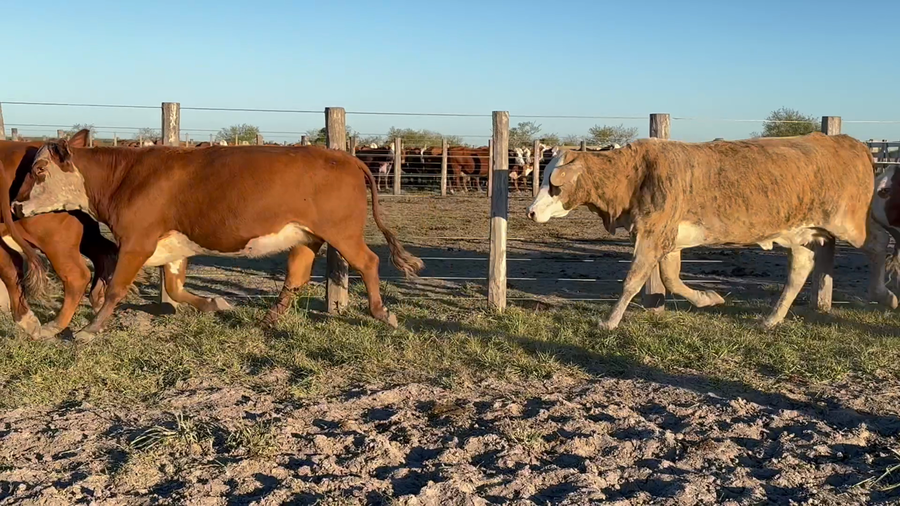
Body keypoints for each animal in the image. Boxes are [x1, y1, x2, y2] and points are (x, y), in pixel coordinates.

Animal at [12, 130, 425, 343]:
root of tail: (349, 158)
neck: (125, 176)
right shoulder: (172, 245)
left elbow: (115, 287)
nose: (14, 205)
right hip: (305, 236)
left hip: (342, 231)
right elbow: (175, 288)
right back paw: (269, 320)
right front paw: (215, 304)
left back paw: (382, 312)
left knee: (368, 262)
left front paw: (90, 328)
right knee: (296, 275)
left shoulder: (136, 241)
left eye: (39, 169)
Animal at [526, 132, 874, 330]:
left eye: (554, 185)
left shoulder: (652, 235)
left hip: (855, 227)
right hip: (800, 233)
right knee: (799, 271)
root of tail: (848, 142)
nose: (531, 211)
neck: (634, 173)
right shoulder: (669, 239)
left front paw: (609, 321)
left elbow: (632, 281)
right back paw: (771, 319)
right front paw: (709, 298)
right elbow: (670, 279)